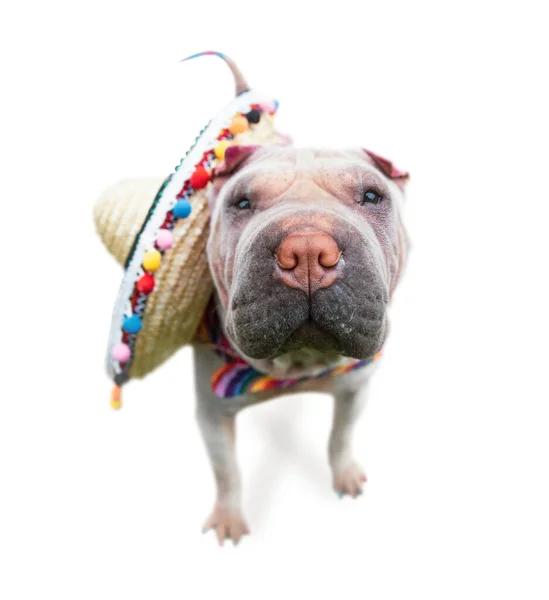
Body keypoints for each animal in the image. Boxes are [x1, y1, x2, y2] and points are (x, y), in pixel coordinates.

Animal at [193, 142, 406, 544]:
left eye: (372, 196)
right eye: (241, 202)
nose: (307, 250)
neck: (299, 364)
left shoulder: (355, 388)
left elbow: (341, 435)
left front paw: (345, 474)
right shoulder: (213, 414)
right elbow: (226, 471)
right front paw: (228, 518)